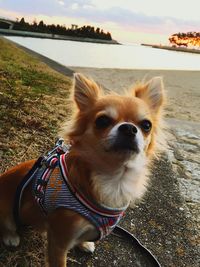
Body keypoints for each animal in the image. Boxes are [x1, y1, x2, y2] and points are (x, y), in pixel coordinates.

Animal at [0, 72, 166, 266]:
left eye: (146, 125)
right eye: (102, 121)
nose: (129, 128)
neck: (113, 178)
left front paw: (84, 243)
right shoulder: (59, 239)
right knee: (7, 225)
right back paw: (11, 237)